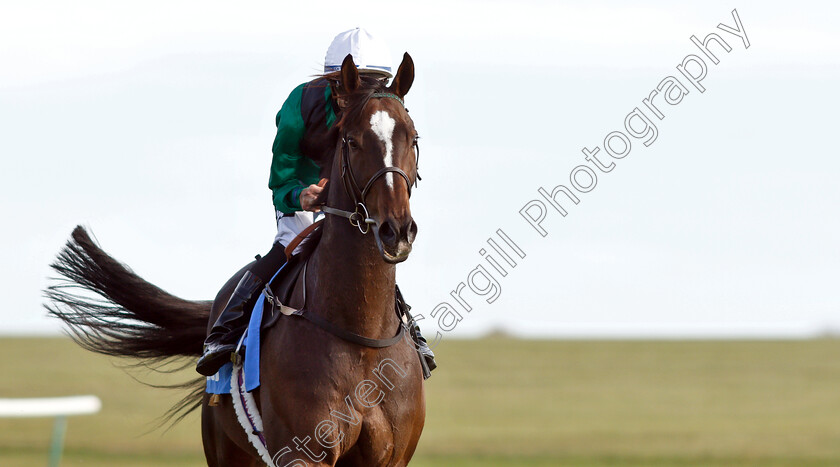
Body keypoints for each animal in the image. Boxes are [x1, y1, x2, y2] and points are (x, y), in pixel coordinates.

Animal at [44, 53, 426, 466]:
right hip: (226, 448)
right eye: (353, 141)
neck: (361, 337)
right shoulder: (302, 452)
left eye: (413, 137)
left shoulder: (391, 456)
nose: (395, 230)